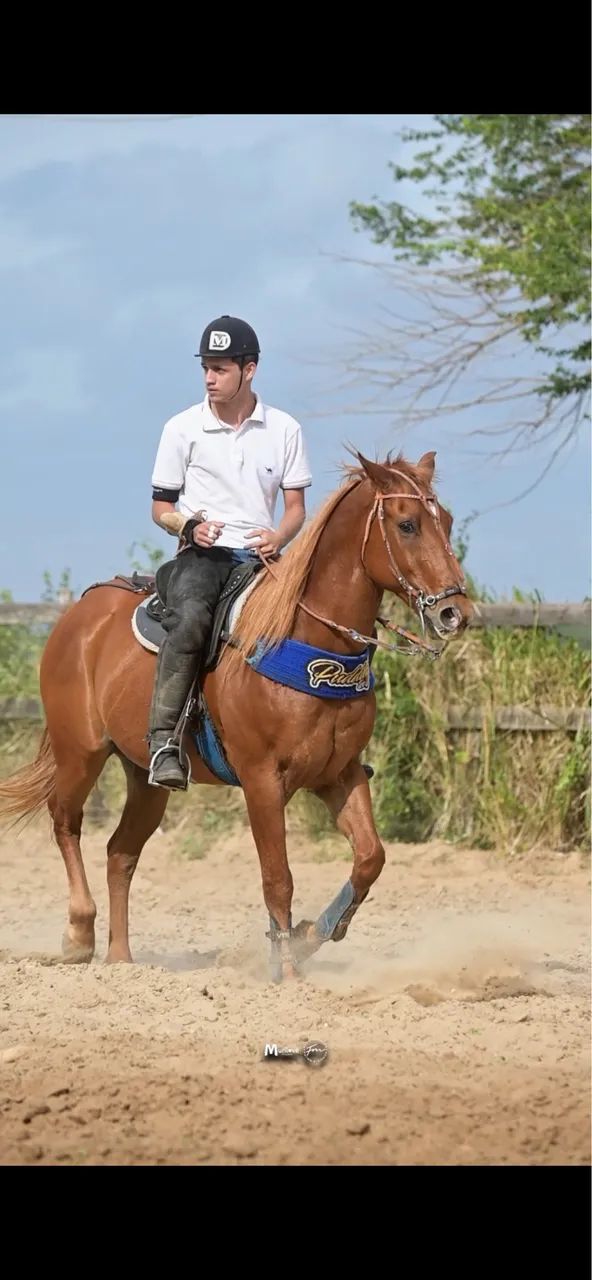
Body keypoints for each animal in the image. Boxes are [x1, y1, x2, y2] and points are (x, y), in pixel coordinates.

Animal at [0, 449, 474, 981]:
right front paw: (287, 971)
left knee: (120, 853)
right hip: (79, 752)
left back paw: (122, 960)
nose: (456, 612)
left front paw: (308, 937)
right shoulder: (261, 780)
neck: (306, 642)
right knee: (65, 821)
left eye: (446, 521)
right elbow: (278, 878)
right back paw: (79, 933)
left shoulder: (340, 774)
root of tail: (79, 617)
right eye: (408, 524)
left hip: (145, 778)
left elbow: (370, 857)